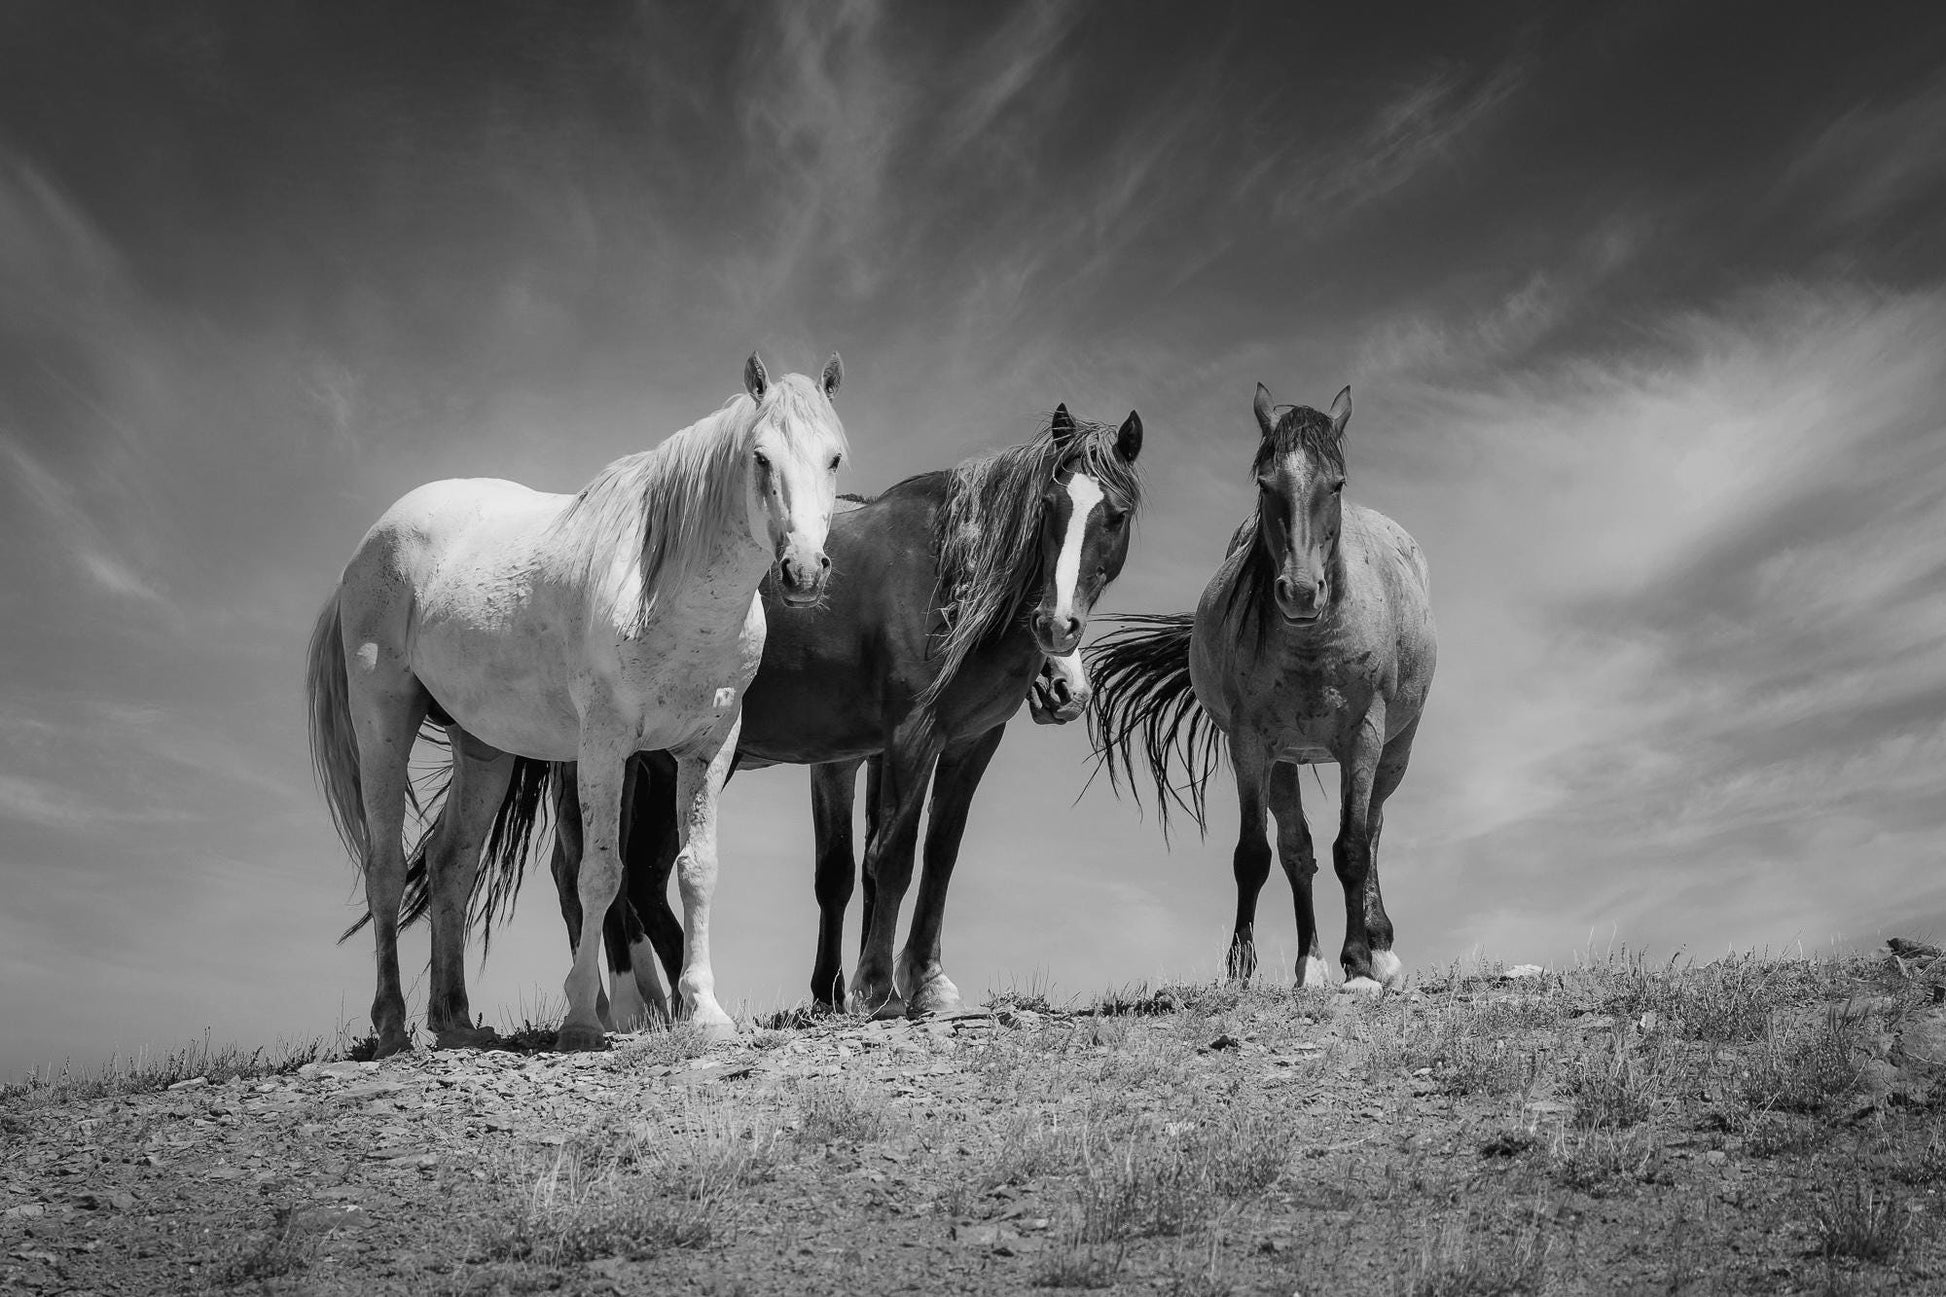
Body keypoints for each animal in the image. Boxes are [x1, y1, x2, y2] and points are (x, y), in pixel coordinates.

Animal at [307, 348, 848, 1043]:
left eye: (834, 458)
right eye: (760, 457)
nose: (803, 572)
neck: (668, 592)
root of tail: (367, 547)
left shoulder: (706, 749)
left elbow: (697, 870)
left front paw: (705, 1011)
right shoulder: (604, 748)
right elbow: (600, 874)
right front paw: (584, 1020)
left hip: (481, 748)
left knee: (451, 864)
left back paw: (456, 1024)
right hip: (383, 720)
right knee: (385, 868)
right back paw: (394, 1029)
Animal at [377, 405, 1136, 1020]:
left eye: (1116, 515)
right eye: (1049, 506)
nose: (1059, 644)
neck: (942, 571)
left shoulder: (944, 745)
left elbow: (904, 860)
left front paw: (908, 984)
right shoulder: (911, 735)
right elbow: (890, 856)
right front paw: (876, 987)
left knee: (622, 879)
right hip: (633, 763)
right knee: (608, 878)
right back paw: (637, 1003)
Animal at [1097, 381, 1432, 989]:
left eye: (1336, 484)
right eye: (1265, 483)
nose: (1300, 592)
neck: (1313, 644)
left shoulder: (1364, 739)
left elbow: (1352, 847)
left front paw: (1359, 964)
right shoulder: (1251, 745)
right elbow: (1254, 855)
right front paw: (1240, 967)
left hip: (1396, 749)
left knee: (1372, 831)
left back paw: (1380, 949)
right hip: (1284, 763)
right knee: (1297, 849)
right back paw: (1310, 965)